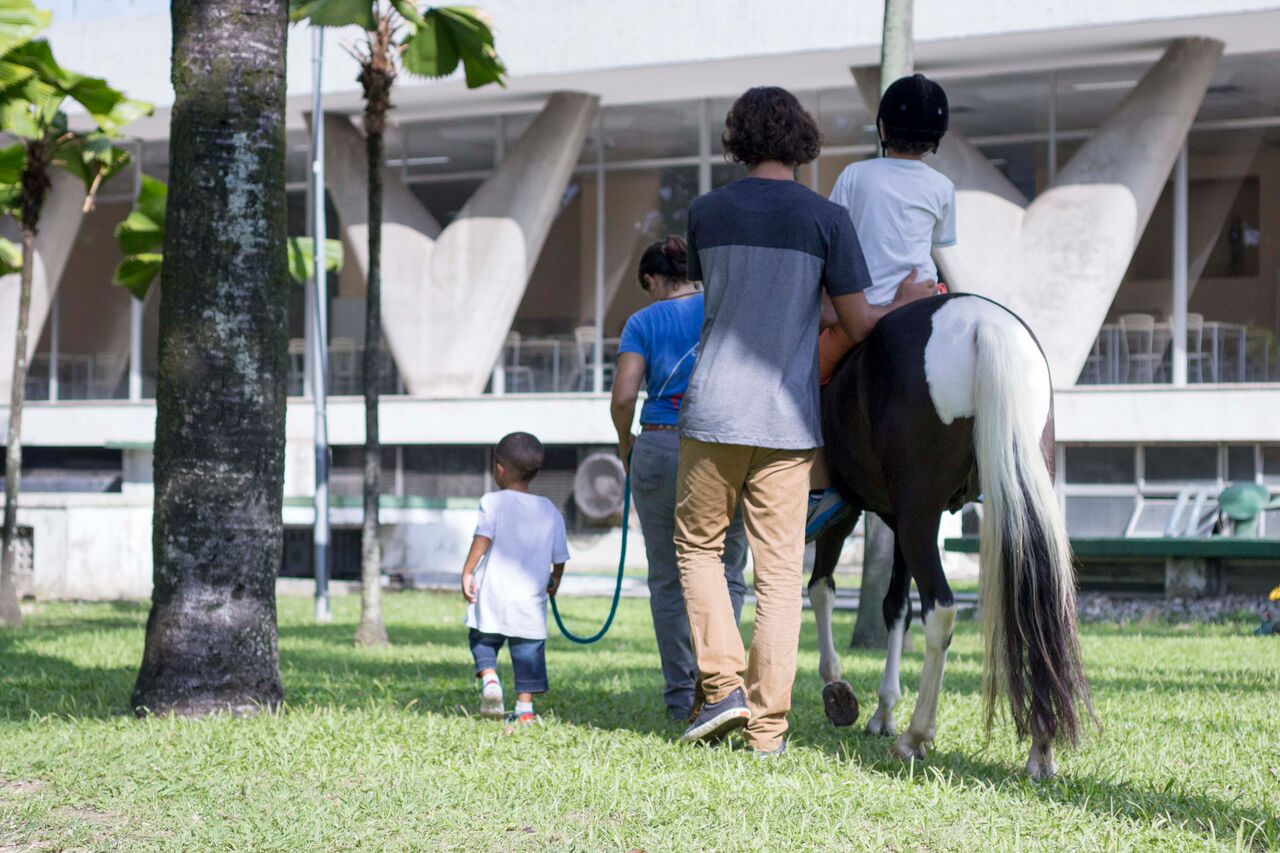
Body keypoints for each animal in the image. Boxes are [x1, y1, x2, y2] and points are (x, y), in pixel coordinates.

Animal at [808, 292, 1090, 778]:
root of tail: (982, 322)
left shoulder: (848, 512)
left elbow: (821, 589)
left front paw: (837, 688)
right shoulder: (892, 518)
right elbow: (894, 607)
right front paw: (883, 709)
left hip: (919, 515)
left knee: (940, 609)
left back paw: (915, 736)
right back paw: (1041, 748)